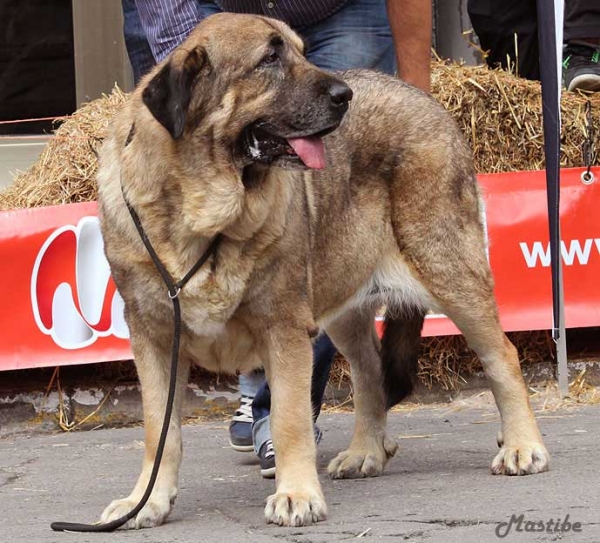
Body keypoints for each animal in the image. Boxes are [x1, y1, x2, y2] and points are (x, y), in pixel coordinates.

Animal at [96, 13, 552, 532]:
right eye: (269, 59)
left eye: (300, 50)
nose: (343, 95)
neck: (202, 212)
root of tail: (425, 97)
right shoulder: (153, 337)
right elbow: (160, 431)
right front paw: (145, 501)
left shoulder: (284, 329)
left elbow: (290, 419)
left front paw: (295, 494)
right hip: (343, 303)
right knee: (371, 374)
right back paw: (365, 452)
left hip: (448, 270)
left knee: (502, 356)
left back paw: (522, 446)